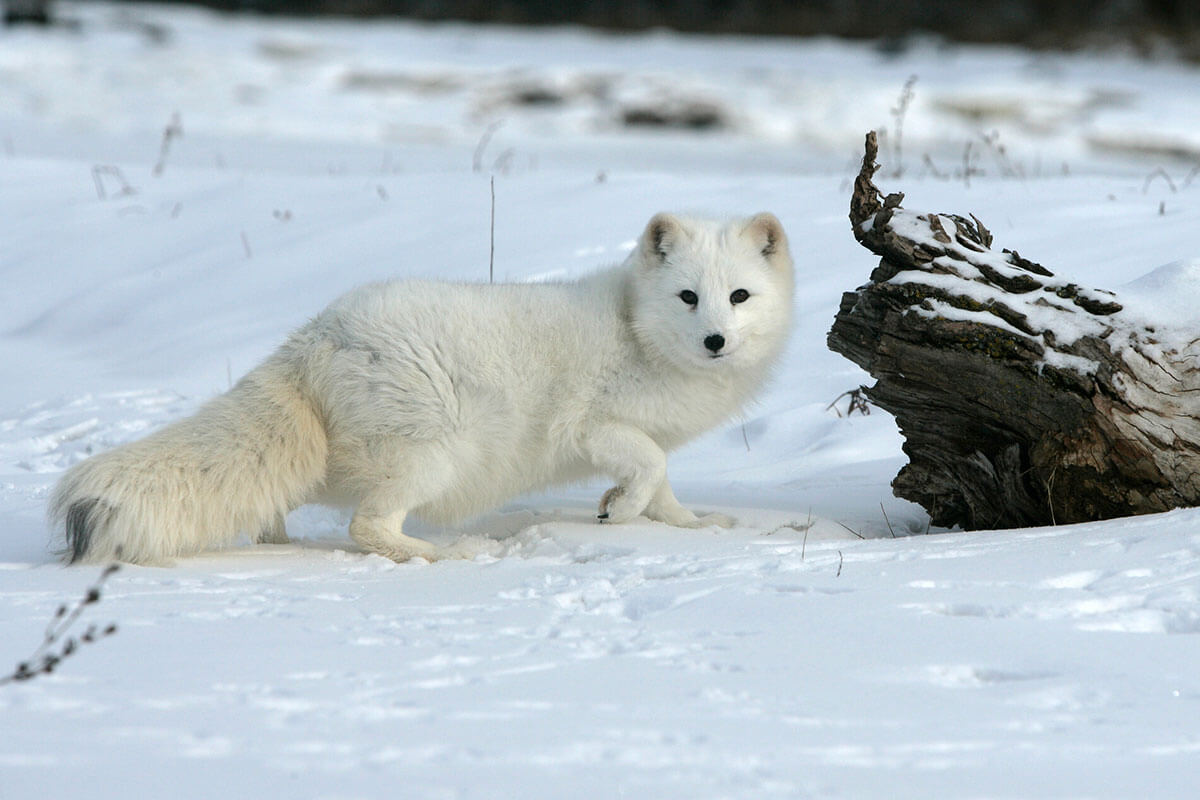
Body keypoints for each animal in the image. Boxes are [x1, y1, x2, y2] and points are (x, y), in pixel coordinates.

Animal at [49, 211, 796, 563]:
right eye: (687, 297)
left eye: (739, 296)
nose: (716, 341)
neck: (635, 329)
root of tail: (314, 336)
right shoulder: (594, 427)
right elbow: (650, 463)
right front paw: (623, 510)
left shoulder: (642, 434)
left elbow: (664, 481)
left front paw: (687, 525)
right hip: (435, 455)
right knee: (367, 524)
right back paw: (438, 555)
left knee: (272, 503)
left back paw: (283, 546)